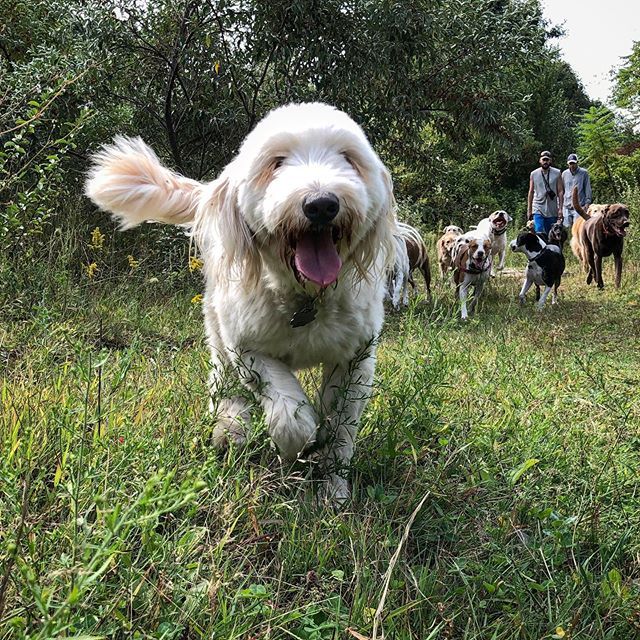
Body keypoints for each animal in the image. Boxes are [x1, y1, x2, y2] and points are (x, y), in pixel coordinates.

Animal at [85, 102, 396, 502]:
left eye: (348, 158)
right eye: (277, 162)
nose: (321, 204)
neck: (305, 298)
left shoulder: (357, 355)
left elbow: (341, 427)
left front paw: (334, 489)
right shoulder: (246, 347)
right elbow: (288, 409)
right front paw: (299, 444)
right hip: (217, 330)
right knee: (223, 383)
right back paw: (230, 427)